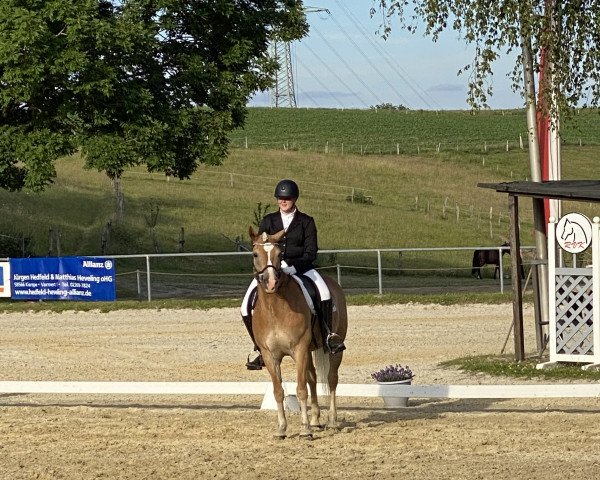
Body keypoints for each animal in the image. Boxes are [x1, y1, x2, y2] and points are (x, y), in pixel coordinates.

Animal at [248, 228, 346, 438]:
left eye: (280, 254)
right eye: (255, 254)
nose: (271, 282)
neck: (274, 308)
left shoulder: (299, 349)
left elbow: (300, 389)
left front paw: (304, 429)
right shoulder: (270, 356)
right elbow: (279, 391)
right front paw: (281, 429)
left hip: (334, 348)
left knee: (331, 379)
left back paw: (331, 421)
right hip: (309, 350)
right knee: (313, 378)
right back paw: (316, 420)